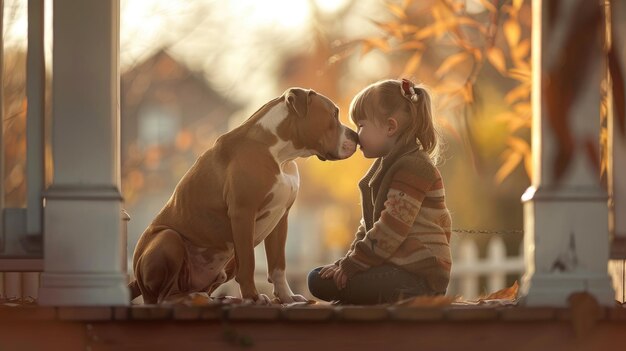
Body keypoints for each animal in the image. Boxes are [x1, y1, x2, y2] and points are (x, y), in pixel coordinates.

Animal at [128, 88, 356, 306]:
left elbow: (278, 265)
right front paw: (253, 297)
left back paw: (220, 298)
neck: (280, 155)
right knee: (162, 297)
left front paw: (286, 297)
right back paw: (194, 299)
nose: (355, 135)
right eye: (334, 114)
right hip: (168, 238)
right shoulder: (243, 214)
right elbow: (248, 263)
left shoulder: (280, 218)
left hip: (225, 260)